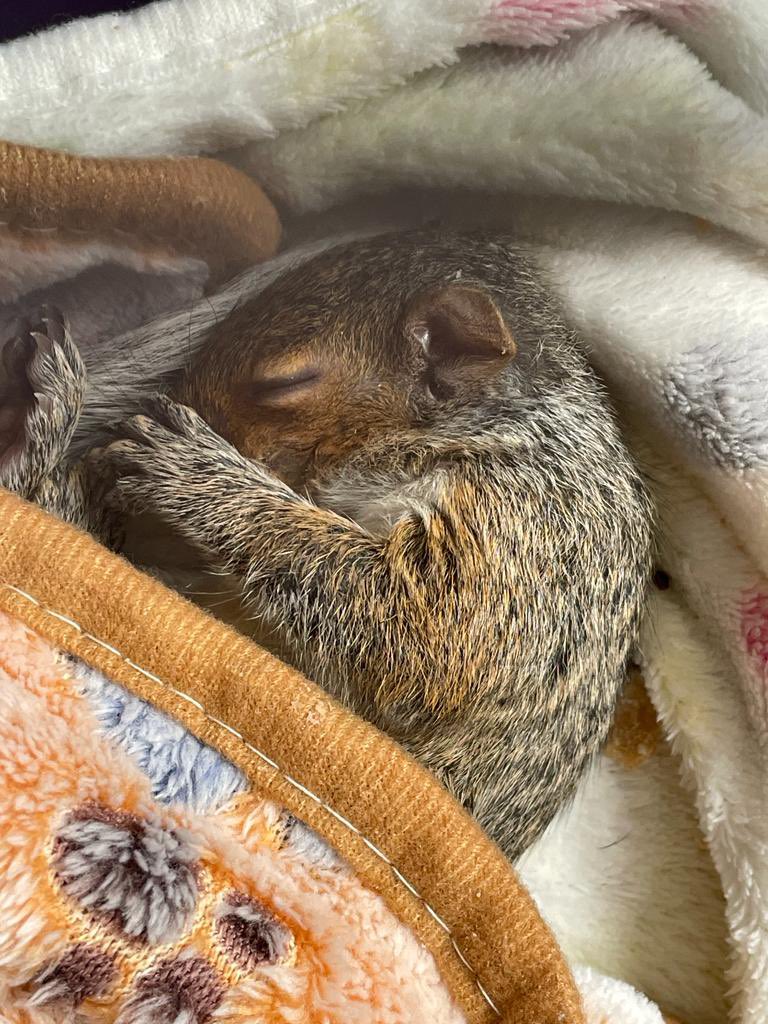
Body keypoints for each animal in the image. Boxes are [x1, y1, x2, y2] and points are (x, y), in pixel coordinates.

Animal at [0, 231, 654, 862]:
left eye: (284, 381)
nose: (183, 410)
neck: (503, 426)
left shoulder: (521, 536)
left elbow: (418, 628)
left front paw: (195, 472)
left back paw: (46, 410)